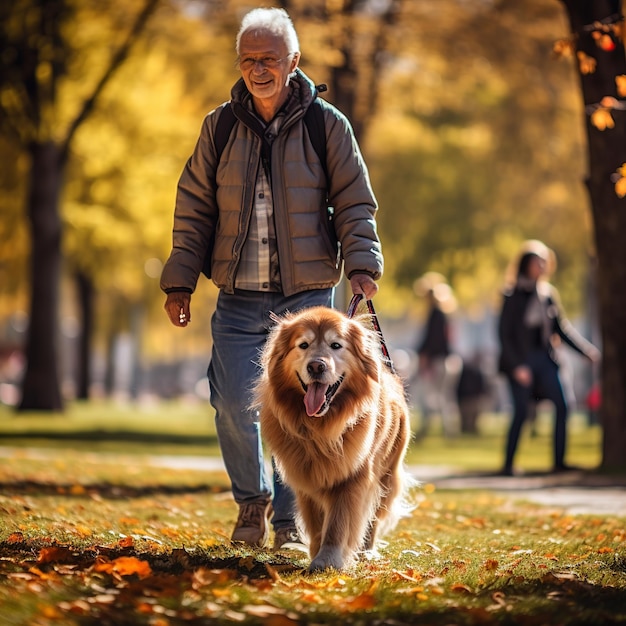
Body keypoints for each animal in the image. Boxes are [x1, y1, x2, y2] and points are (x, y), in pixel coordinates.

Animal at [251, 304, 412, 572]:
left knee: (373, 516)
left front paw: (328, 559)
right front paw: (316, 552)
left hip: (386, 475)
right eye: (303, 345)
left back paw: (367, 551)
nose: (316, 366)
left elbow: (338, 523)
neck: (319, 427)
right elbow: (317, 524)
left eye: (336, 345)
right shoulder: (306, 479)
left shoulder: (353, 477)